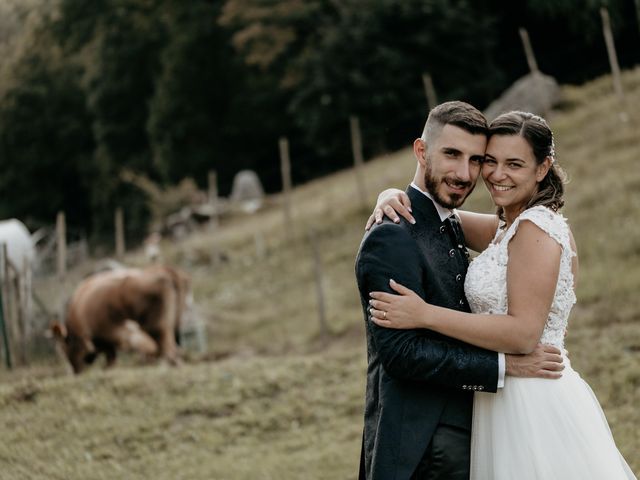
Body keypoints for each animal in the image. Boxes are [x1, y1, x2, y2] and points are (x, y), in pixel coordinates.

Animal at [50, 264, 190, 374]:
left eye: (63, 348)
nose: (76, 371)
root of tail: (167, 271)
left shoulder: (107, 335)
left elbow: (111, 358)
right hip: (171, 326)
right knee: (175, 351)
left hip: (158, 328)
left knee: (170, 352)